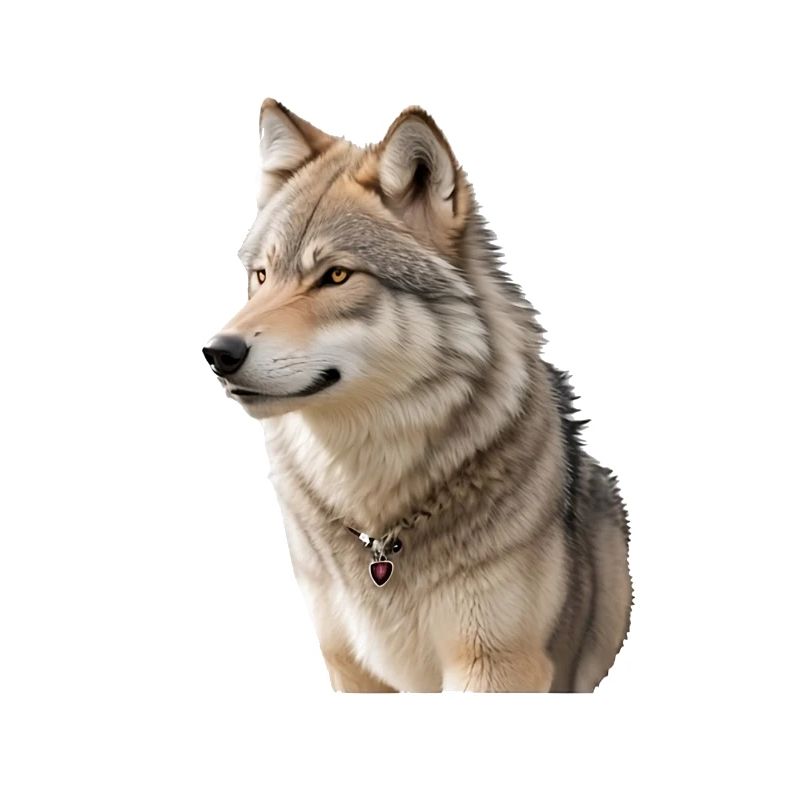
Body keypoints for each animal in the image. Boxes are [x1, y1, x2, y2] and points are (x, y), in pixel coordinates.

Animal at [202, 99, 632, 692]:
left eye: (337, 275)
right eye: (261, 276)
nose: (217, 352)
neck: (379, 522)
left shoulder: (496, 664)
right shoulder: (349, 665)